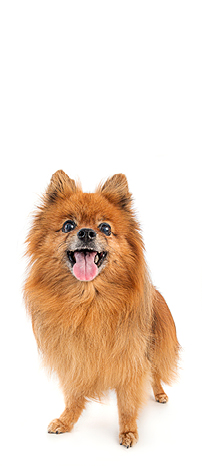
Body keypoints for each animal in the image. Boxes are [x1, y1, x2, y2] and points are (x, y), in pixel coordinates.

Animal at [24, 171, 180, 448]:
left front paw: (128, 431)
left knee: (155, 374)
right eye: (68, 225)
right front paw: (66, 421)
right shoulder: (74, 358)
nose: (86, 233)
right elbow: (73, 396)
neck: (88, 302)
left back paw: (160, 394)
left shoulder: (131, 360)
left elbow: (127, 403)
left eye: (105, 228)